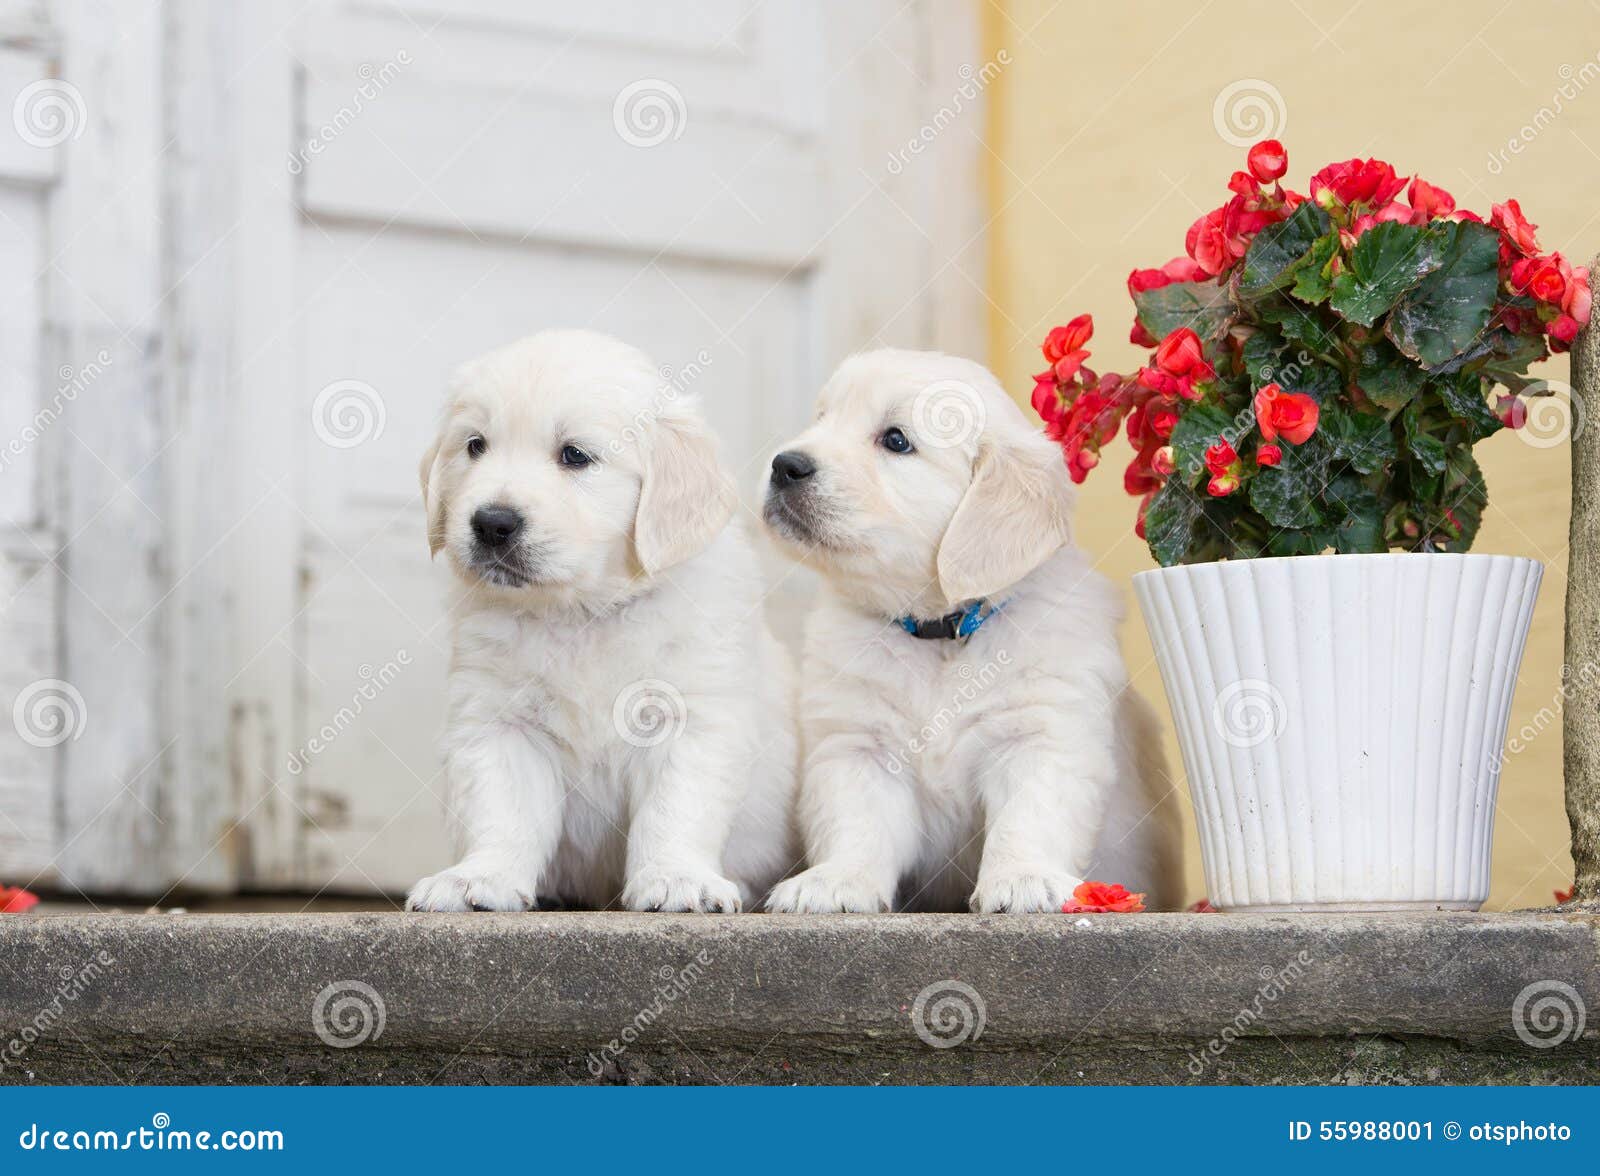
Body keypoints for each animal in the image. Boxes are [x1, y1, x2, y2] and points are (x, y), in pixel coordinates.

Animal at [403, 326, 796, 915]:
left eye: (574, 455)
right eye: (475, 446)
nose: (491, 523)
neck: (582, 612)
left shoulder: (692, 717)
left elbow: (674, 810)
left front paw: (677, 880)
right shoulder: (498, 720)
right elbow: (501, 809)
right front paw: (477, 879)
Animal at [755, 348, 1184, 921]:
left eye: (896, 440)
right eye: (822, 418)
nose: (785, 465)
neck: (942, 634)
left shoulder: (1041, 734)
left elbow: (1027, 817)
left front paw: (1024, 879)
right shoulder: (857, 743)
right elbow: (857, 820)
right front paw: (834, 881)